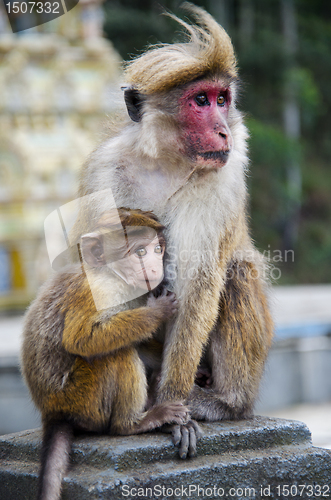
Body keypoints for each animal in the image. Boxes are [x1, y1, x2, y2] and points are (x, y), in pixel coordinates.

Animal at [22, 209, 189, 500]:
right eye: (140, 252)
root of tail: (53, 411)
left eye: (158, 249)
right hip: (81, 400)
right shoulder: (98, 291)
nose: (155, 268)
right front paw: (156, 312)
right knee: (115, 355)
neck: (113, 275)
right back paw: (132, 424)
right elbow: (82, 339)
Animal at [78, 4, 274, 458]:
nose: (223, 129)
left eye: (222, 99)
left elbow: (197, 285)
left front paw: (172, 404)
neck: (167, 162)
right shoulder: (103, 174)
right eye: (199, 100)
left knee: (236, 270)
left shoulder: (221, 180)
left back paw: (223, 401)